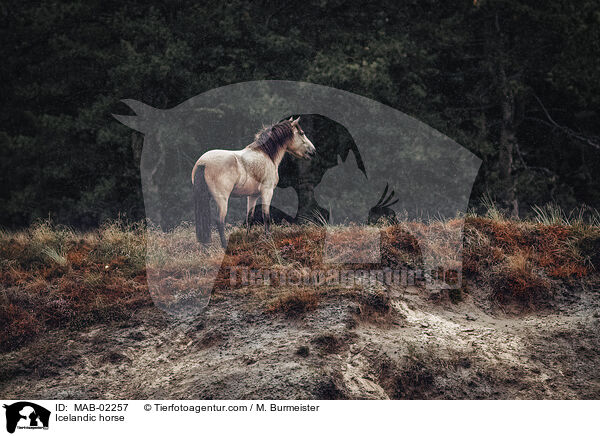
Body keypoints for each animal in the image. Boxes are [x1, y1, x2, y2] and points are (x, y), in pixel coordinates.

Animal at [192, 117, 316, 247]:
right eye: (301, 133)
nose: (313, 151)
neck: (266, 155)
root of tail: (203, 163)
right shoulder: (267, 192)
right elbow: (266, 216)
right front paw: (268, 239)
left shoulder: (252, 195)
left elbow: (249, 218)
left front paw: (247, 239)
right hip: (222, 199)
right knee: (219, 221)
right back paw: (224, 246)